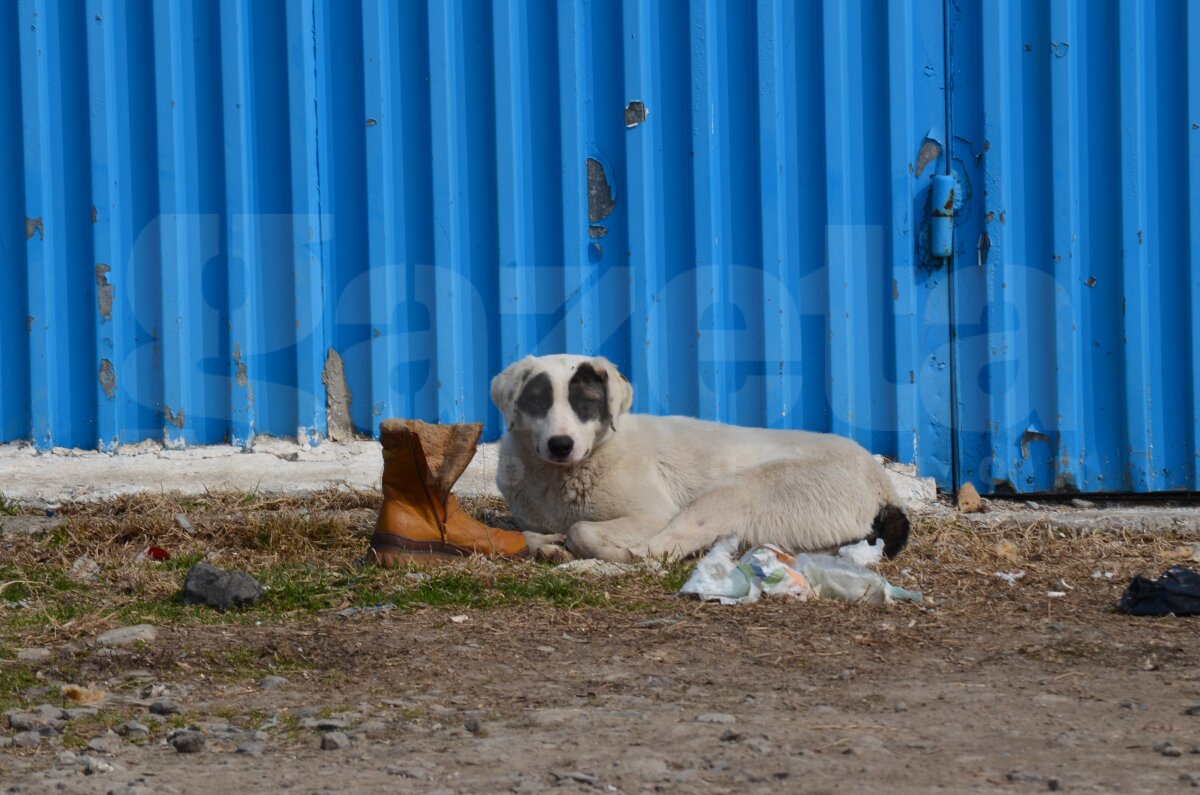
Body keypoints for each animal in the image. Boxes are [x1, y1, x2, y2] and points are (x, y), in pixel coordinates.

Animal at [489, 355, 907, 566]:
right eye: (538, 401)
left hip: (733, 492)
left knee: (663, 550)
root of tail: (884, 487)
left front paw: (578, 543)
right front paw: (544, 543)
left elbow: (581, 529)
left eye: (585, 404)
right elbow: (521, 534)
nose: (560, 444)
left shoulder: (652, 516)